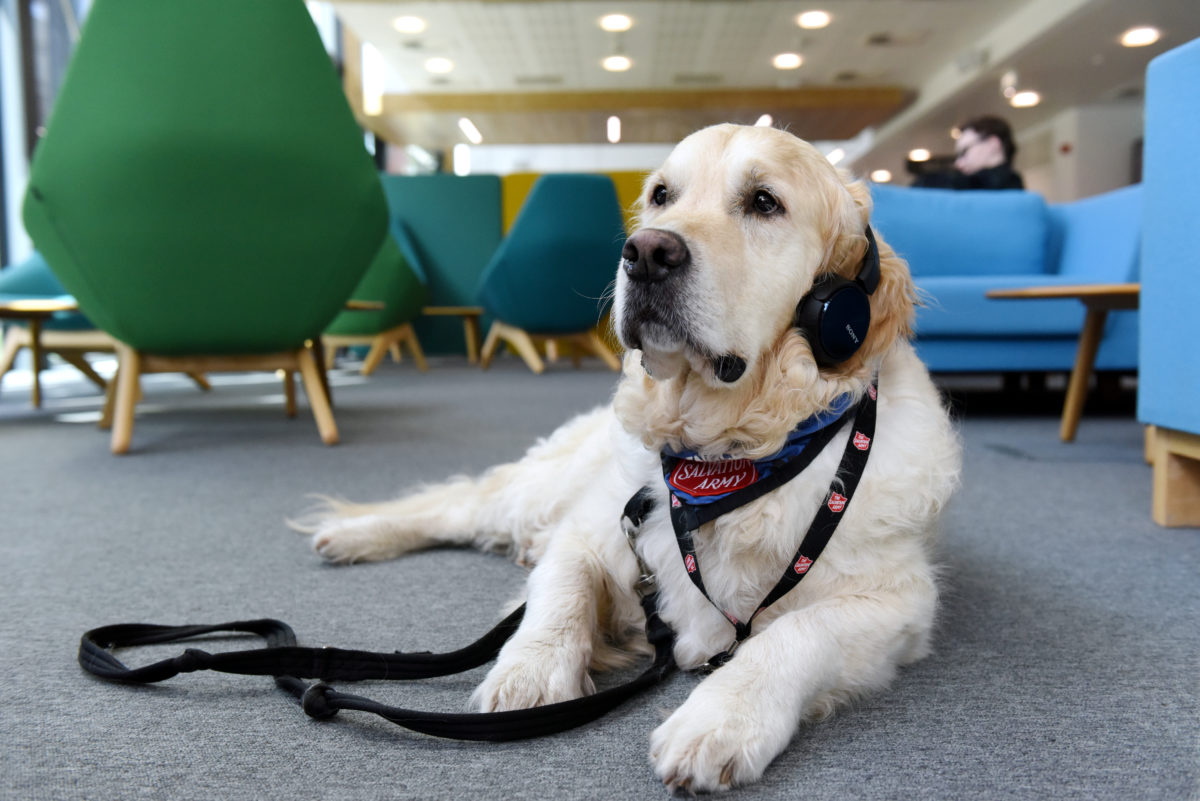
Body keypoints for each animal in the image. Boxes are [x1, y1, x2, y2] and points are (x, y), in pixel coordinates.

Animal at [304, 126, 960, 796]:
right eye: (662, 195)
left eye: (764, 202)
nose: (646, 252)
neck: (730, 454)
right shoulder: (594, 530)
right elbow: (560, 593)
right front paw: (529, 672)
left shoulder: (900, 602)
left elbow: (798, 633)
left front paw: (721, 720)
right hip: (539, 489)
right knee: (456, 506)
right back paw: (353, 534)